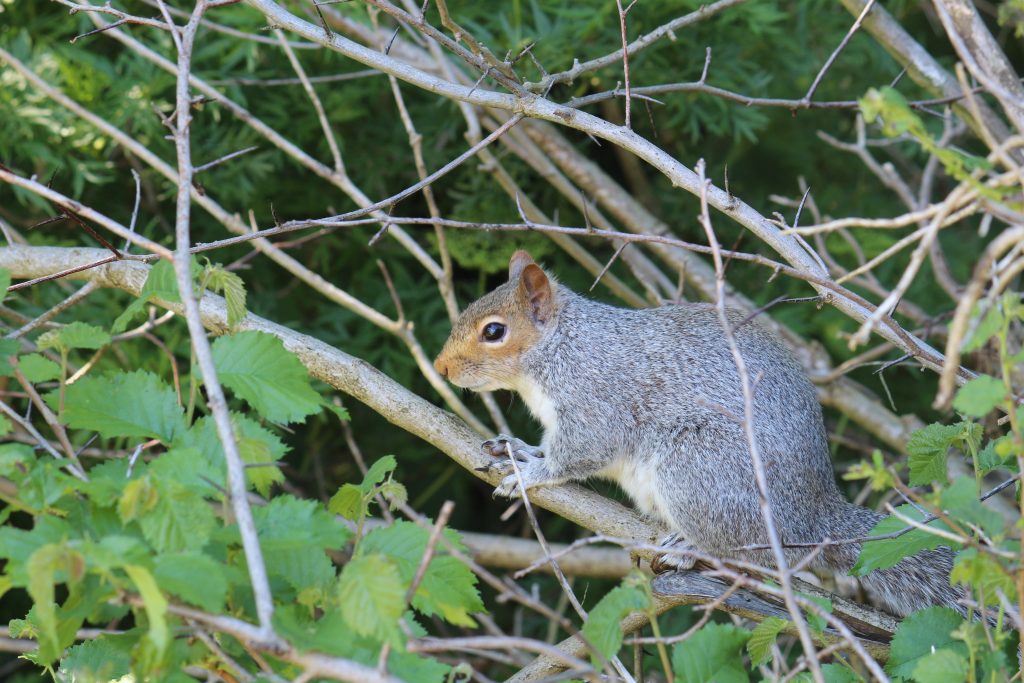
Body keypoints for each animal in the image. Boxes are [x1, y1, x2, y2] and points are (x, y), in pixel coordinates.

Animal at [432, 250, 958, 618]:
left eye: (494, 331)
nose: (440, 368)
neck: (563, 346)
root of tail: (812, 522)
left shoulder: (597, 398)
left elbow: (581, 452)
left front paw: (533, 472)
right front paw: (518, 448)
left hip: (697, 467)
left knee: (755, 554)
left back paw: (691, 548)